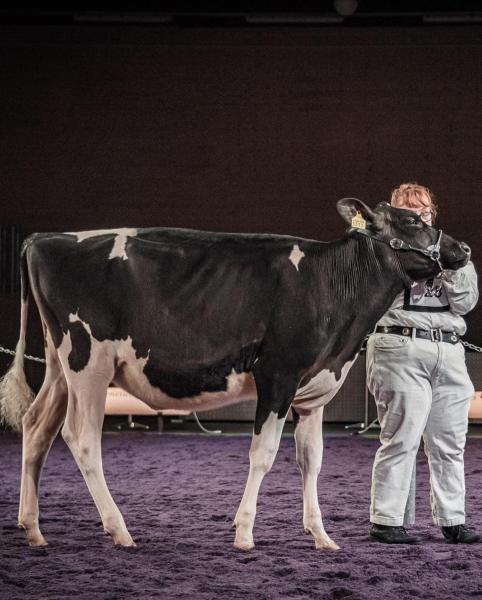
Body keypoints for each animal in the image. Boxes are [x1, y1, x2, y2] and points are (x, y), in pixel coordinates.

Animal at [0, 199, 470, 552]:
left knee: (37, 426)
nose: (463, 248)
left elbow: (312, 460)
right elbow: (263, 455)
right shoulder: (278, 374)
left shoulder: (314, 390)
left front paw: (321, 535)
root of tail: (46, 238)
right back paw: (119, 530)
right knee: (80, 439)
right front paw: (244, 532)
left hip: (60, 366)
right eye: (413, 221)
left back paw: (33, 528)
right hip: (88, 362)